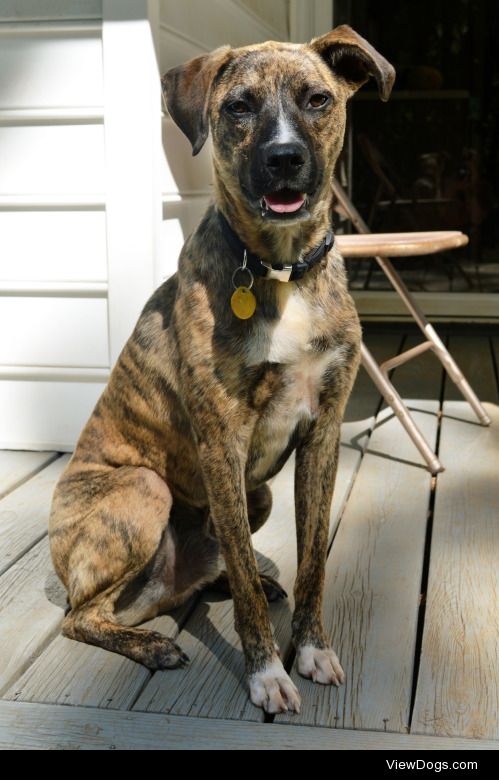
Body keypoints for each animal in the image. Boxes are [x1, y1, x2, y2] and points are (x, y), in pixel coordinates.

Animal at [49, 25, 394, 712]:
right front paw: (267, 674)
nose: (285, 158)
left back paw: (235, 585)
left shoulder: (322, 435)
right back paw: (155, 643)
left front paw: (310, 648)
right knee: (81, 615)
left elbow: (313, 560)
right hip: (145, 488)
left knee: (206, 577)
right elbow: (243, 569)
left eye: (318, 99)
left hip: (256, 493)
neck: (283, 272)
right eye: (238, 106)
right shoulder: (221, 446)